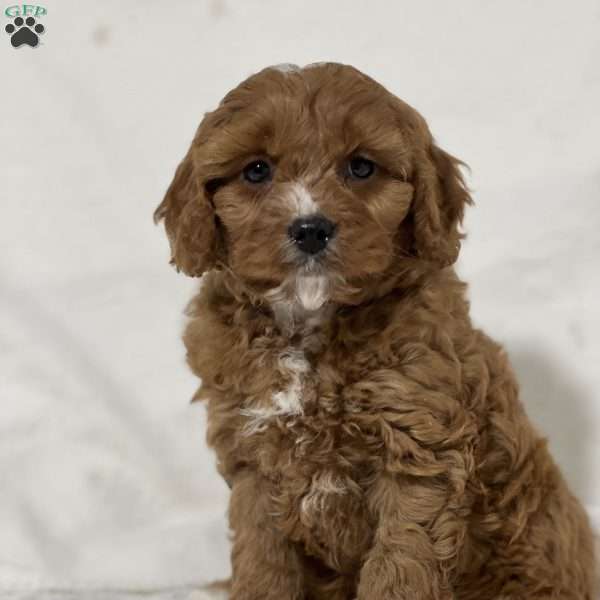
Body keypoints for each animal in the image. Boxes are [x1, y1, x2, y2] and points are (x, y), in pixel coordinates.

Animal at [155, 62, 596, 600]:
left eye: (361, 168)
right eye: (256, 170)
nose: (310, 229)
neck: (309, 323)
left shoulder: (417, 451)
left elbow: (400, 566)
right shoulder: (253, 455)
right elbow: (262, 559)